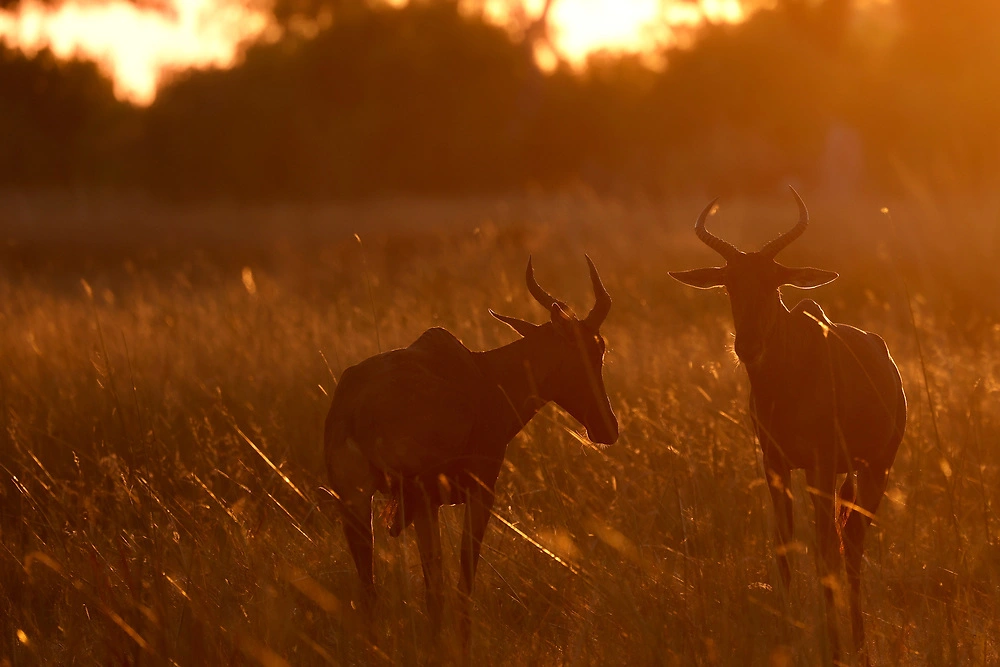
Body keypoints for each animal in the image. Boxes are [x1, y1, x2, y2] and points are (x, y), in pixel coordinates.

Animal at [324, 254, 616, 652]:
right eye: (583, 350)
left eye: (600, 348)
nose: (607, 428)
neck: (481, 374)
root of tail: (355, 407)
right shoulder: (478, 494)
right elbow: (464, 580)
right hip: (415, 499)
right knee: (432, 586)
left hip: (356, 502)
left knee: (369, 588)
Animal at [672, 187, 908, 664]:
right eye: (729, 283)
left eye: (774, 282)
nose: (747, 346)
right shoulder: (775, 463)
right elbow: (783, 547)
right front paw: (786, 635)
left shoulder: (819, 464)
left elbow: (824, 552)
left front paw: (831, 647)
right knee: (847, 538)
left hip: (875, 469)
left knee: (851, 545)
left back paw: (857, 644)